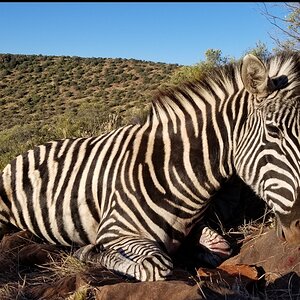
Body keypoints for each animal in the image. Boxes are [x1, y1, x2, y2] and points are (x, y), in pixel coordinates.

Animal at [0, 51, 298, 282]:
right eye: (273, 131)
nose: (297, 230)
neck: (174, 171)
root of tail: (26, 151)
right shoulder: (114, 231)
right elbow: (156, 265)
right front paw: (90, 253)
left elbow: (220, 246)